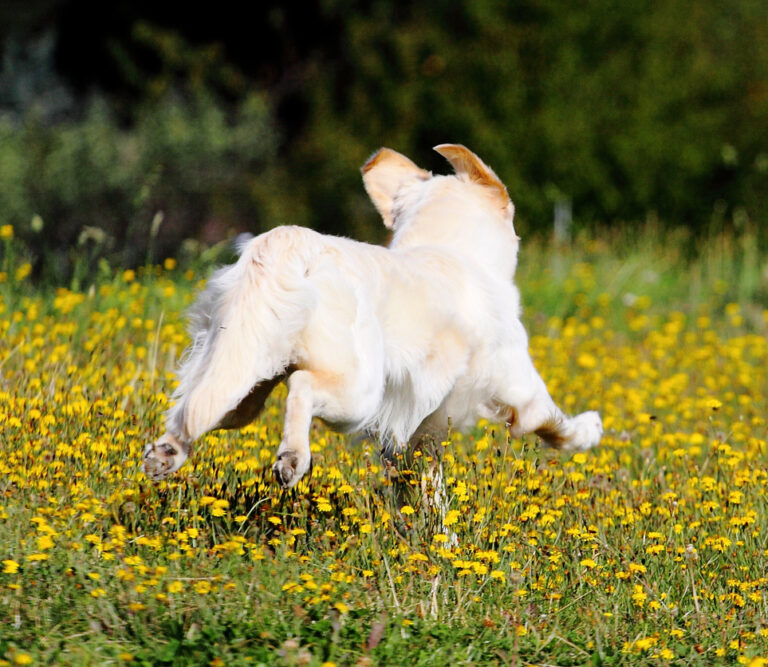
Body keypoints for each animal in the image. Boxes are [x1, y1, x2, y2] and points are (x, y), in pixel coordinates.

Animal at [142, 145, 600, 486]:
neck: (451, 249)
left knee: (191, 414)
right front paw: (589, 430)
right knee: (302, 386)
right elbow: (554, 422)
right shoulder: (520, 387)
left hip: (240, 376)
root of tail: (294, 243)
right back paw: (292, 458)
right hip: (358, 391)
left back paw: (165, 454)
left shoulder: (423, 431)